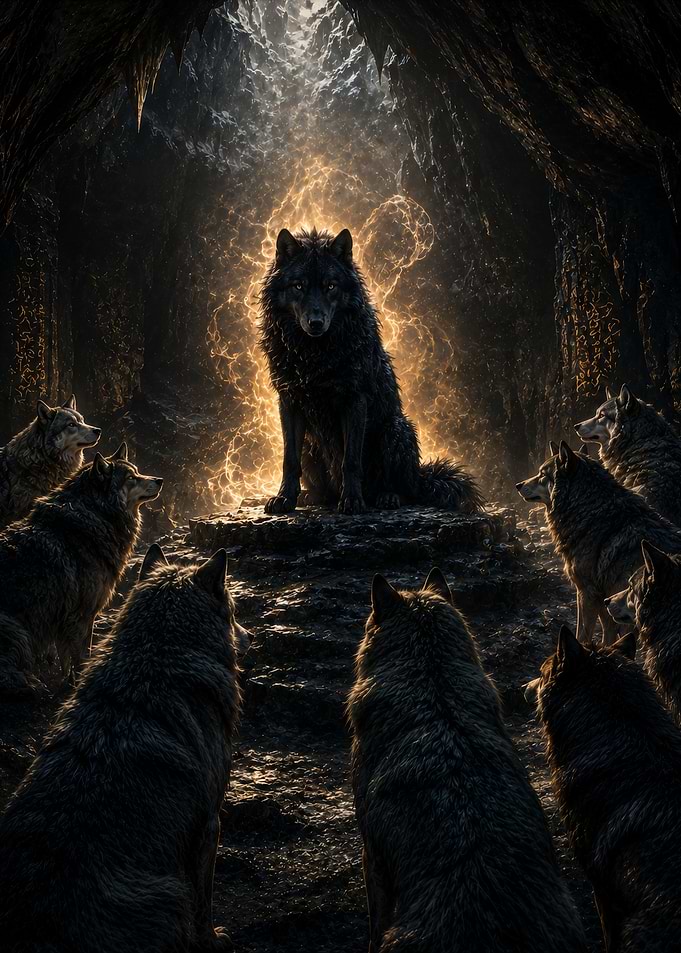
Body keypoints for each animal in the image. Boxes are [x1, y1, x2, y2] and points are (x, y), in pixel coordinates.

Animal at [0, 443, 162, 694]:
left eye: (137, 471)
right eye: (130, 478)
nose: (159, 479)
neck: (96, 514)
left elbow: (66, 658)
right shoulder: (82, 615)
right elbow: (81, 657)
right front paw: (77, 685)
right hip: (17, 631)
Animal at [0, 545, 242, 952]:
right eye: (233, 610)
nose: (245, 632)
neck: (154, 657)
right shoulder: (210, 822)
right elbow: (204, 901)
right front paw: (212, 938)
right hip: (169, 895)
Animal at [259, 227, 482, 515]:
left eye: (331, 286)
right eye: (299, 286)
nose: (316, 322)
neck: (315, 354)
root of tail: (421, 477)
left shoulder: (355, 400)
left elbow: (351, 461)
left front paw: (353, 501)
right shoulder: (289, 401)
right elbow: (289, 458)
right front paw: (285, 498)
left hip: (395, 430)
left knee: (405, 490)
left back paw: (387, 497)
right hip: (312, 444)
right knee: (326, 492)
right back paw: (312, 497)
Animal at [516, 440, 681, 643]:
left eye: (541, 474)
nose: (518, 484)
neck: (591, 512)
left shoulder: (587, 592)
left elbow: (582, 634)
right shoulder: (605, 600)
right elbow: (607, 637)